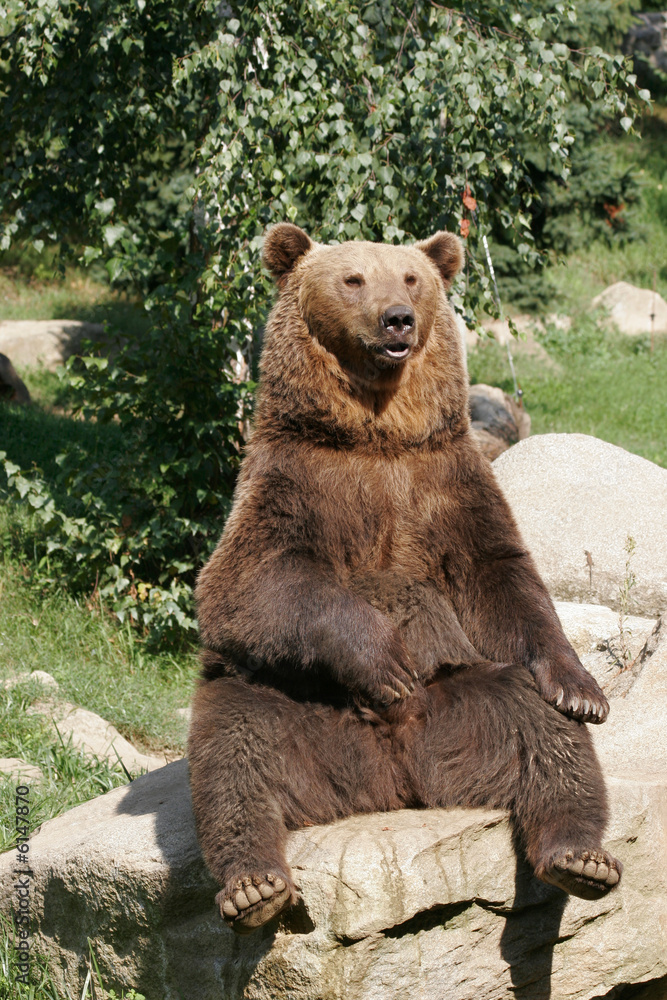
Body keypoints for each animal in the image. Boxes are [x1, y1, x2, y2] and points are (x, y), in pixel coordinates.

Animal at [188, 222, 621, 935]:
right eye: (353, 278)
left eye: (412, 278)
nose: (399, 318)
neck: (376, 432)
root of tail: (395, 778)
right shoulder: (292, 479)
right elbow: (245, 582)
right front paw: (385, 660)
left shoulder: (446, 478)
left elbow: (500, 575)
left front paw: (582, 687)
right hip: (292, 702)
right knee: (235, 745)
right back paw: (254, 885)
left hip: (468, 699)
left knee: (544, 731)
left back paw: (581, 856)